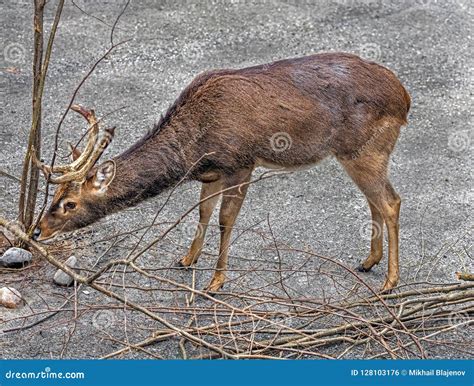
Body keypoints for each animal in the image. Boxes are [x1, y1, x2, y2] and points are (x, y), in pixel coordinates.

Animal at [33, 52, 412, 292]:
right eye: (55, 195)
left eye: (69, 203)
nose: (37, 230)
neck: (194, 150)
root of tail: (405, 99)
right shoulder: (212, 173)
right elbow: (203, 212)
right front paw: (187, 258)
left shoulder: (241, 162)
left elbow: (224, 219)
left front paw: (216, 282)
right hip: (357, 154)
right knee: (375, 201)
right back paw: (369, 261)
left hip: (365, 149)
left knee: (391, 202)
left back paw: (391, 281)